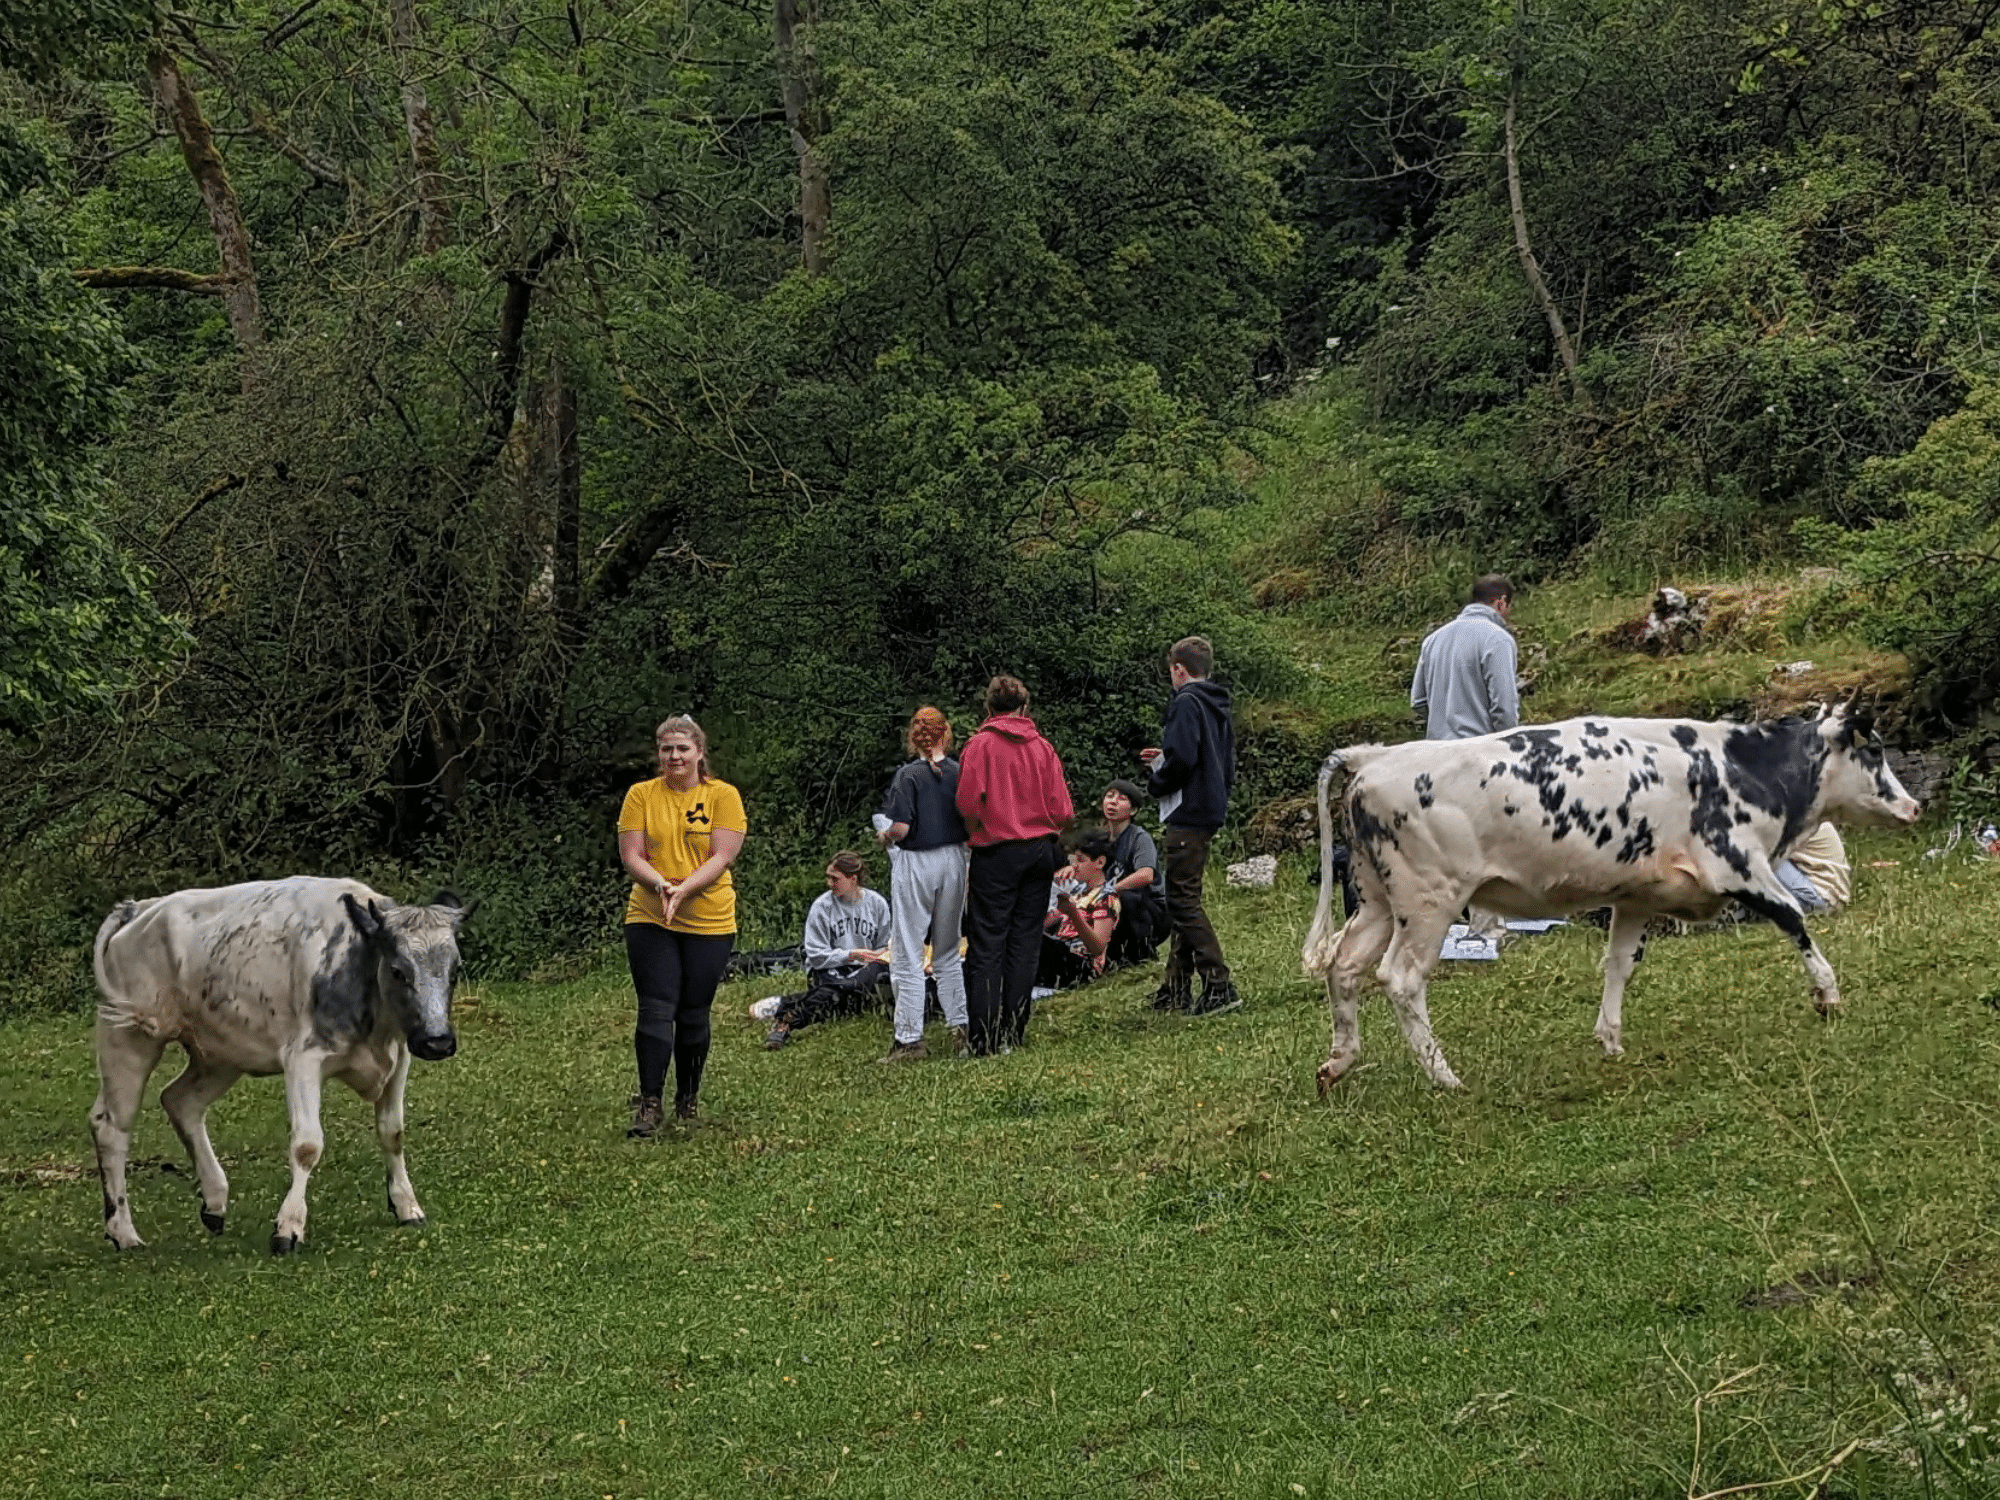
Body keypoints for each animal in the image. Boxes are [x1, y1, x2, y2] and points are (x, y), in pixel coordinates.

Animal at [91, 880, 476, 1256]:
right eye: (398, 970)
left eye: (454, 970)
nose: (437, 1042)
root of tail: (138, 908)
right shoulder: (302, 1059)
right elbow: (307, 1145)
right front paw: (289, 1227)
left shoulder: (399, 1057)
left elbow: (393, 1134)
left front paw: (406, 1205)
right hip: (128, 1037)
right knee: (111, 1126)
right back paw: (123, 1232)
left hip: (220, 1054)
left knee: (180, 1101)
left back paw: (214, 1200)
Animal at [1296, 704, 1920, 1096]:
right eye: (1874, 751)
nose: (1912, 806)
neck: (1742, 768)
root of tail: (1377, 757)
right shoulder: (1738, 862)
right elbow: (1794, 920)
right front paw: (1828, 996)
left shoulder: (1639, 895)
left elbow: (1620, 964)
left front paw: (1611, 1038)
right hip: (1429, 900)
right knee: (1401, 978)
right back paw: (1445, 1078)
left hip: (1377, 901)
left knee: (1344, 967)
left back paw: (1338, 1063)